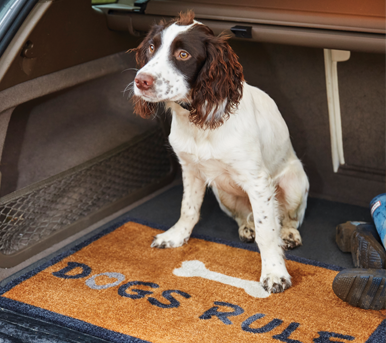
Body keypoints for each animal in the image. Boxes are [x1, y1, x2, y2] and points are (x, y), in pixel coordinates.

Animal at [131, 12, 310, 294]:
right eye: (151, 47)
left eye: (183, 54)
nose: (141, 81)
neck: (198, 119)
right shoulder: (190, 169)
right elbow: (188, 208)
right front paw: (176, 236)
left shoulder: (258, 181)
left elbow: (268, 233)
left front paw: (274, 273)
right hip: (223, 193)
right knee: (245, 216)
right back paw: (247, 227)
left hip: (294, 182)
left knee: (287, 219)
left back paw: (289, 234)